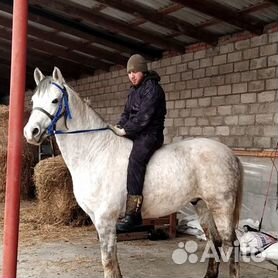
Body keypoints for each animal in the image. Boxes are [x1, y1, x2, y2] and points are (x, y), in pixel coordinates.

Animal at [24, 67, 243, 278]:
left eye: (55, 100)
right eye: (34, 100)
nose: (30, 132)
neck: (95, 151)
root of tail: (229, 153)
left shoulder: (105, 219)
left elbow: (108, 262)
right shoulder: (97, 219)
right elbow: (113, 261)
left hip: (222, 206)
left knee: (231, 244)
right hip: (203, 205)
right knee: (214, 241)